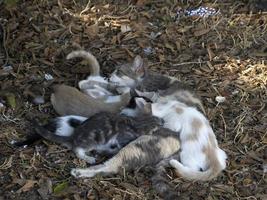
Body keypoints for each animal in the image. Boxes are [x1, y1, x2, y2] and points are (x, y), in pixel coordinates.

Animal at [33, 111, 163, 163]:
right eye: (159, 124)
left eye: (157, 117)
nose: (163, 120)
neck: (138, 122)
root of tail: (73, 136)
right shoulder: (122, 137)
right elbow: (120, 145)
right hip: (93, 140)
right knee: (77, 150)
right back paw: (88, 157)